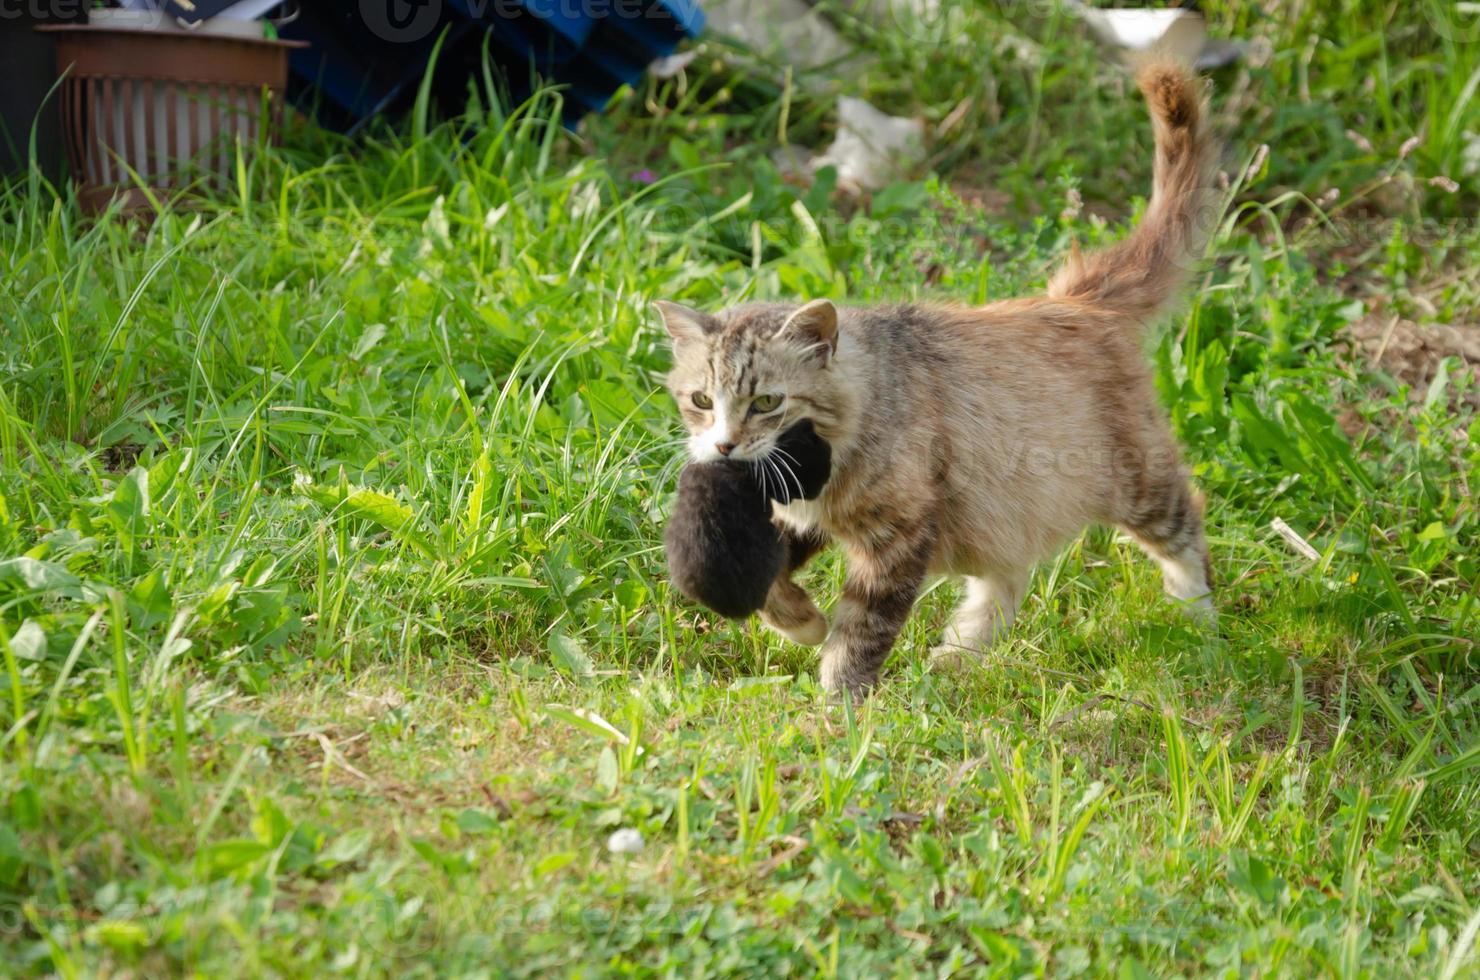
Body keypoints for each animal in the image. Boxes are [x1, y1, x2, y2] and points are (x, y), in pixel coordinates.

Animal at [663, 61, 1225, 695]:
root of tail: (1077, 301)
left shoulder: (898, 537)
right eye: (701, 400)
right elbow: (773, 588)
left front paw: (837, 703)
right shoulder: (801, 520)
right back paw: (959, 656)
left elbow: (859, 635)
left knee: (1186, 527)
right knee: (1008, 576)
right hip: (1005, 506)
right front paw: (803, 624)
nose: (725, 446)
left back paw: (1199, 622)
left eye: (766, 403)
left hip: (1135, 481)